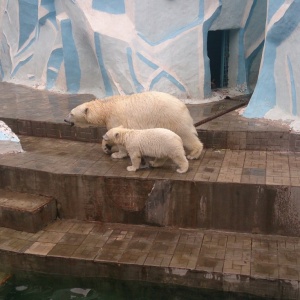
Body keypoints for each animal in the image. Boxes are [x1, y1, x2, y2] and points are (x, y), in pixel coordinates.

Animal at [64, 91, 203, 159]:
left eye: (71, 113)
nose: (65, 120)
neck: (106, 108)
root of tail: (183, 105)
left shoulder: (116, 118)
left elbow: (116, 134)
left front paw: (117, 154)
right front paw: (106, 148)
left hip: (172, 117)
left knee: (185, 135)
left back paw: (193, 154)